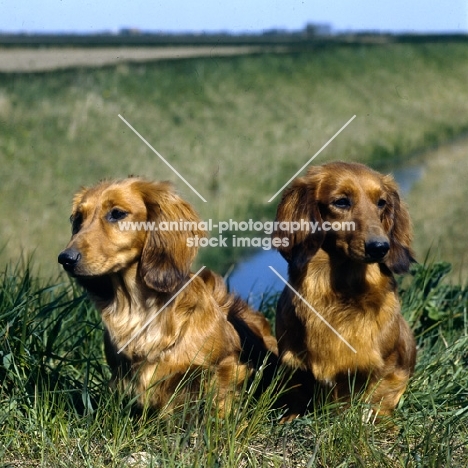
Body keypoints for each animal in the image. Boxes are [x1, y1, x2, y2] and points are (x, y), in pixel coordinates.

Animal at [274, 162, 416, 420]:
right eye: (341, 202)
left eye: (381, 202)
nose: (380, 247)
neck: (341, 294)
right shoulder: (293, 365)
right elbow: (297, 395)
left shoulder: (390, 368)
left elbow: (378, 397)